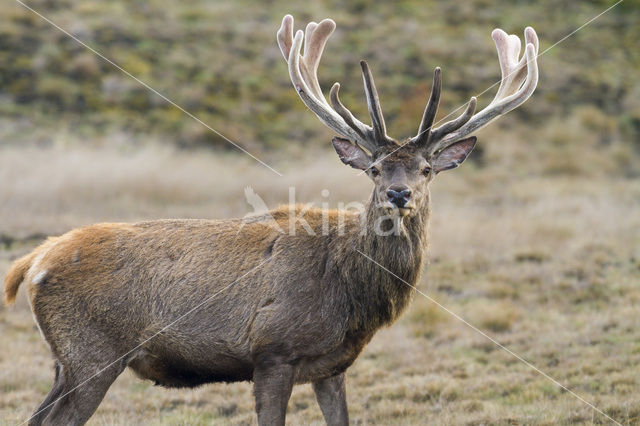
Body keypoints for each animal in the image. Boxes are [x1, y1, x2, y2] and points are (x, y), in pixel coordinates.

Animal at [3, 13, 536, 426]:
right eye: (375, 167)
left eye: (427, 168)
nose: (398, 193)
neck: (353, 294)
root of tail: (33, 261)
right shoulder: (272, 352)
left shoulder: (332, 366)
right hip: (91, 353)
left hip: (64, 361)